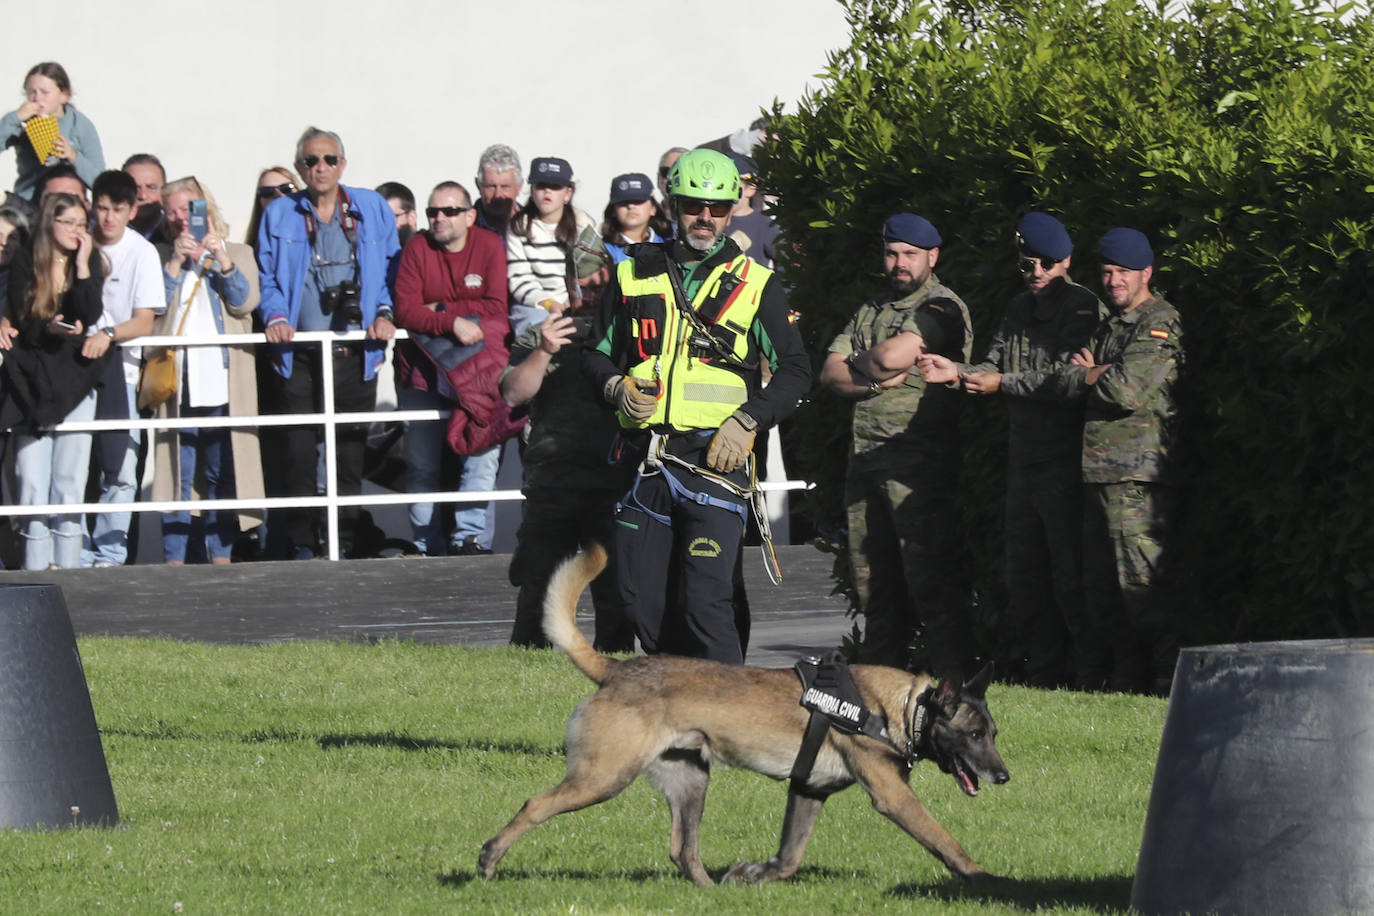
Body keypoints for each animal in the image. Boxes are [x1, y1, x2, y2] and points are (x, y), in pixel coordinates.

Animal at [480, 549, 1011, 884]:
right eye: (974, 735)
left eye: (992, 733)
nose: (1004, 777)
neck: (897, 707)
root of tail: (617, 668)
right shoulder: (893, 797)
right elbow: (944, 840)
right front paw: (984, 880)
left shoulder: (808, 791)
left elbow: (789, 857)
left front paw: (753, 874)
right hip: (603, 777)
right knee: (534, 805)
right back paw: (489, 859)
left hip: (690, 783)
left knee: (682, 848)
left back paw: (712, 894)